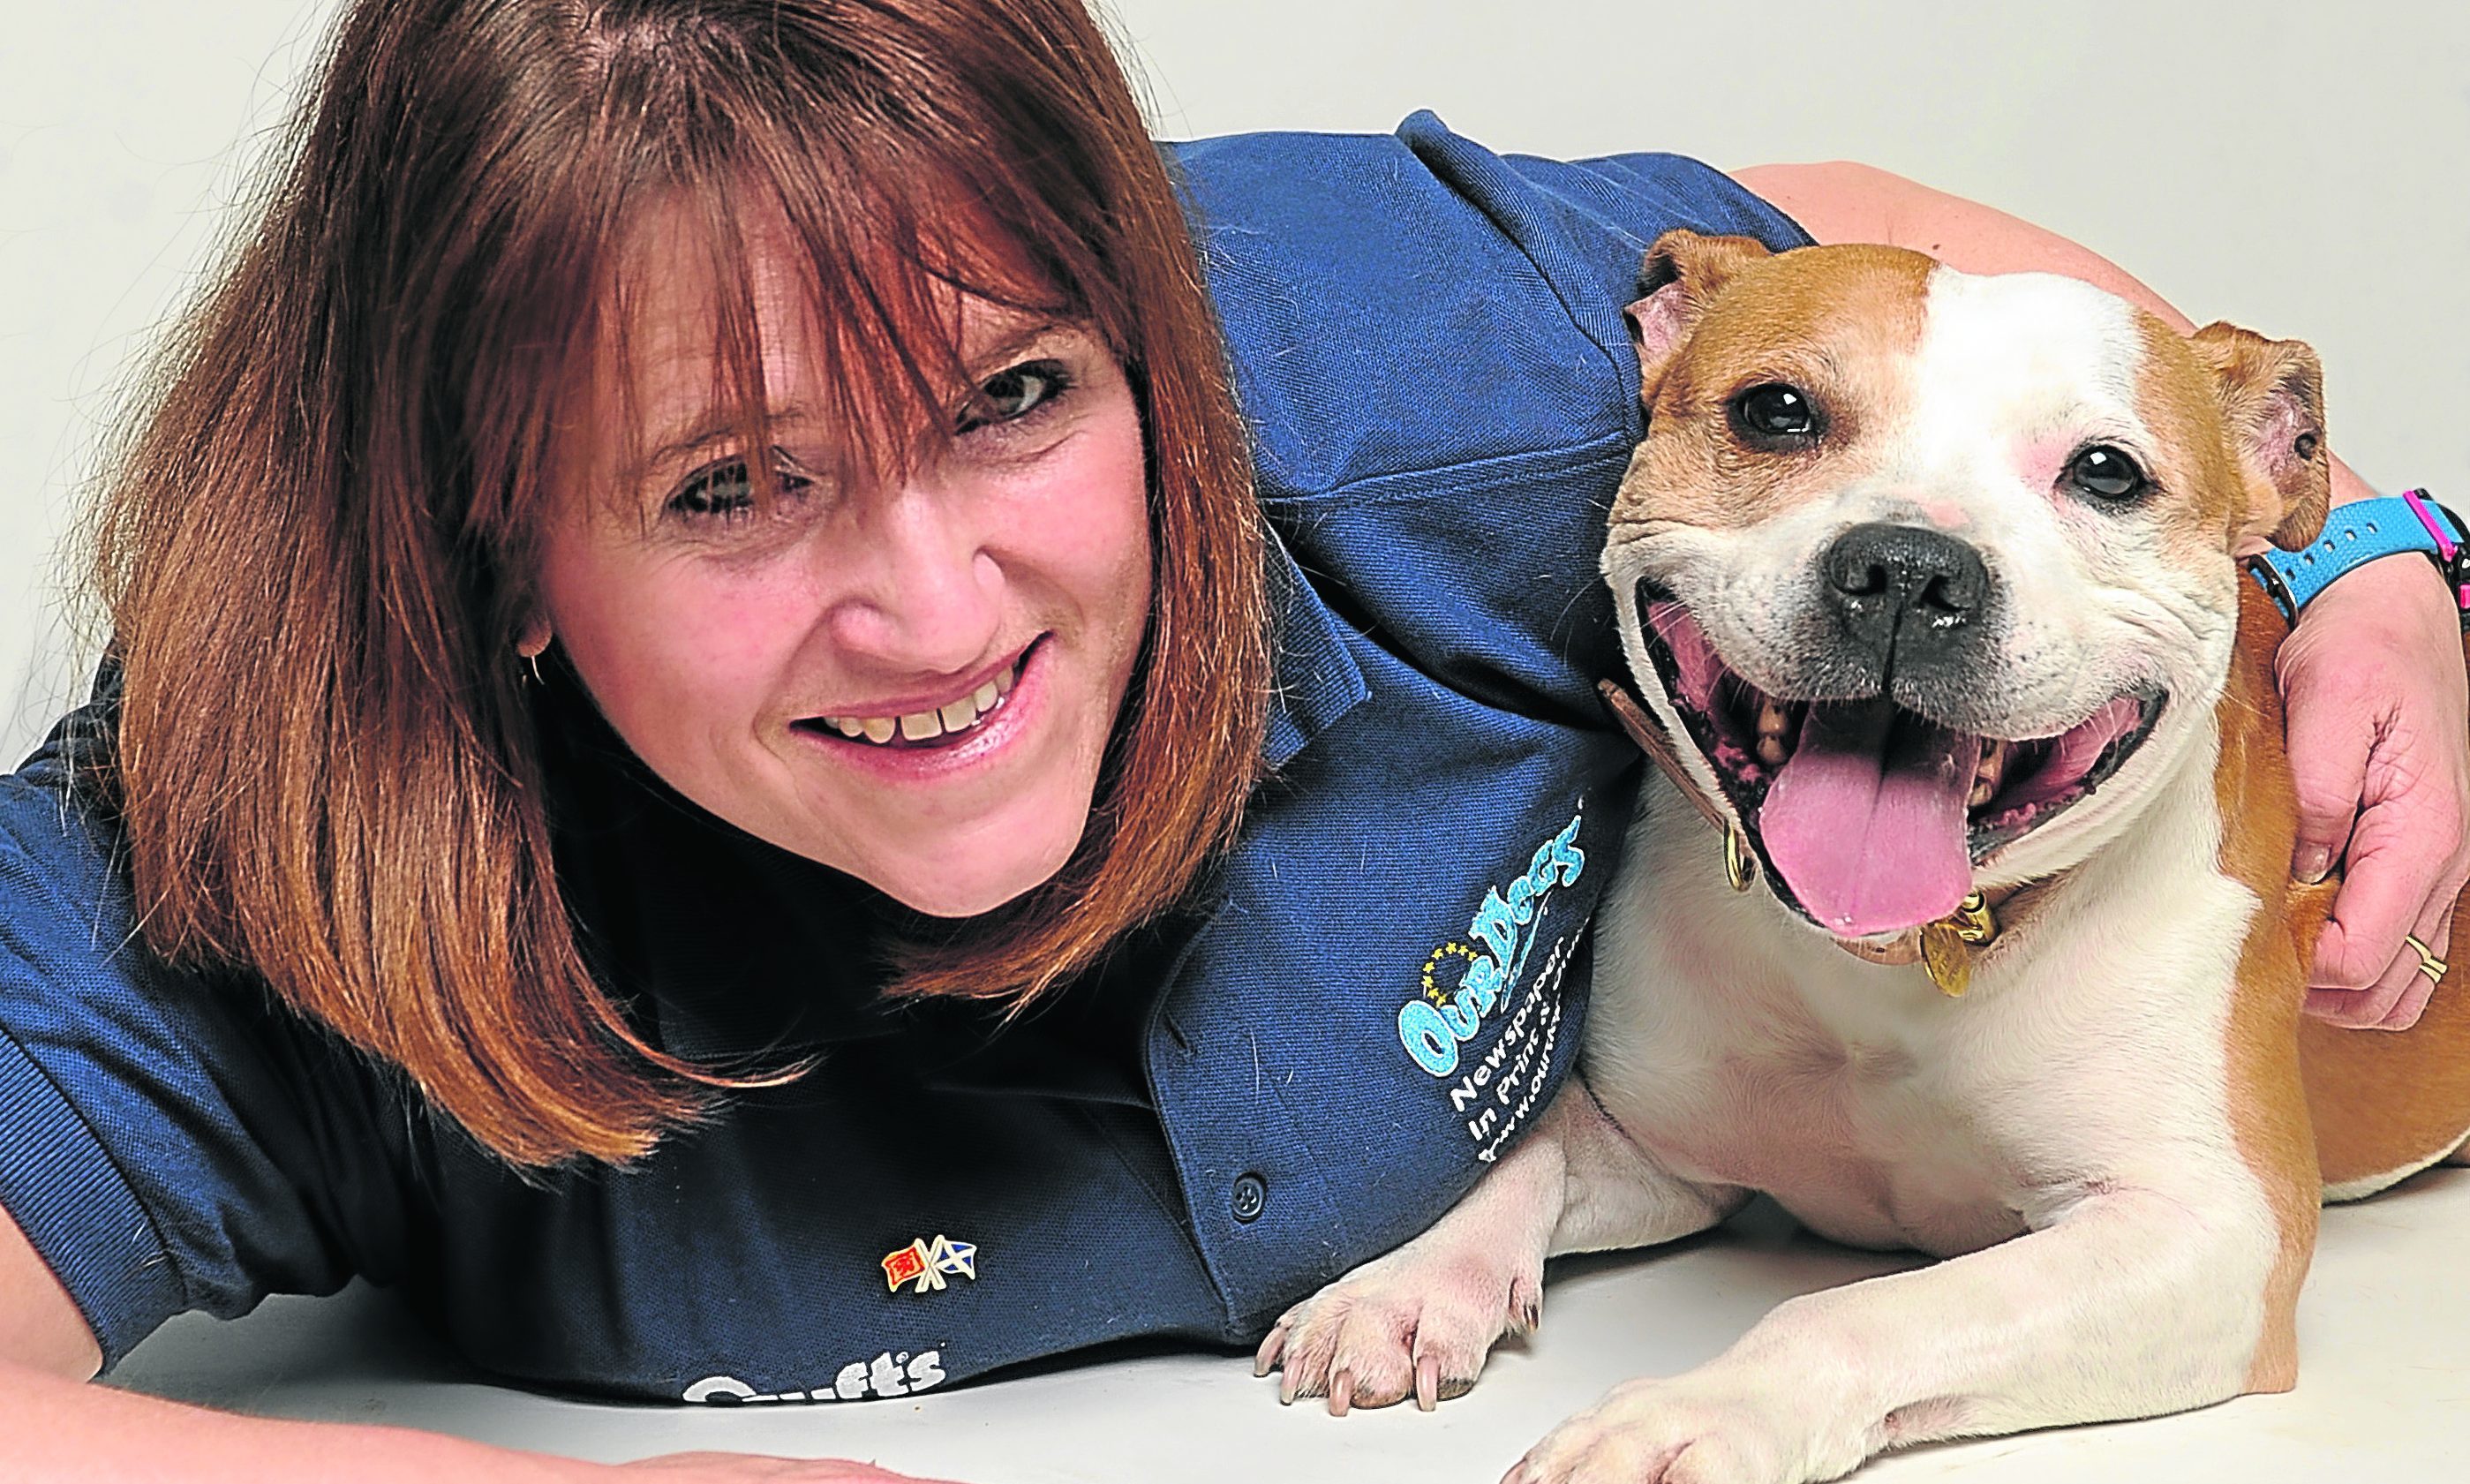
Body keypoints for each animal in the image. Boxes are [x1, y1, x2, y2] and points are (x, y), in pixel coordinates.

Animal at [1254, 231, 2470, 1481]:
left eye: (2106, 472)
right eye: (1776, 411)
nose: (1908, 569)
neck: (1895, 962)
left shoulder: (2209, 1233)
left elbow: (1854, 1312)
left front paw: (1687, 1411)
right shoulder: (1661, 1146)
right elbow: (1532, 1151)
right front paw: (1408, 1283)